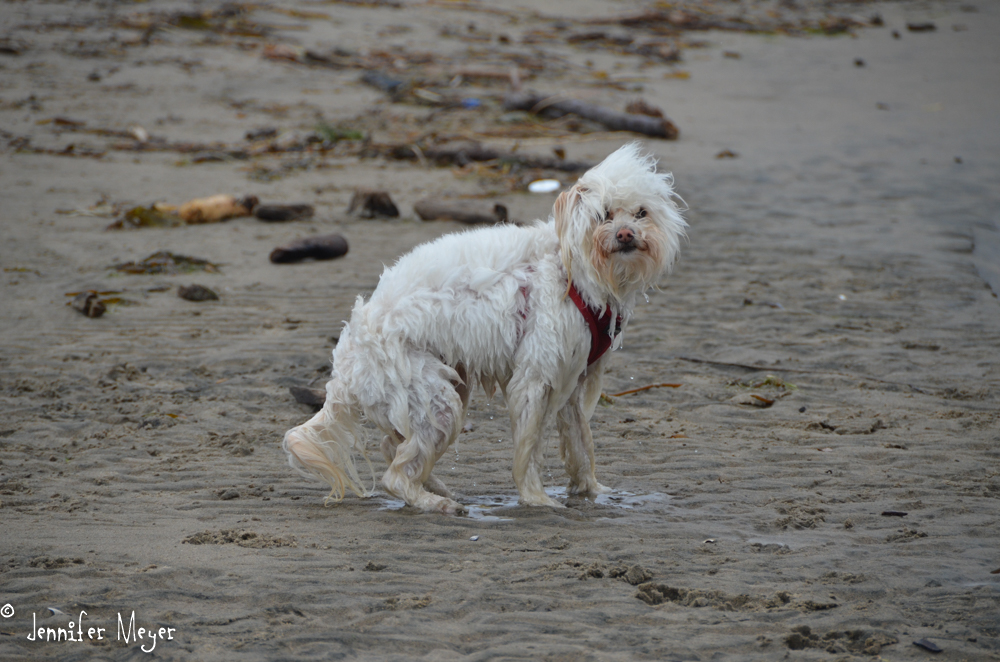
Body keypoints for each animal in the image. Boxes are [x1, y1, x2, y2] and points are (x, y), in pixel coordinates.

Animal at [282, 144, 688, 520]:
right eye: (604, 214)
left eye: (641, 212)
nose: (626, 234)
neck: (570, 269)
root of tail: (346, 359)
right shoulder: (534, 379)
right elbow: (528, 451)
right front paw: (536, 499)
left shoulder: (571, 383)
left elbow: (582, 446)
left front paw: (592, 492)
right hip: (436, 402)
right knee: (395, 476)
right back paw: (437, 503)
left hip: (435, 391)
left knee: (392, 447)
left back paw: (437, 487)